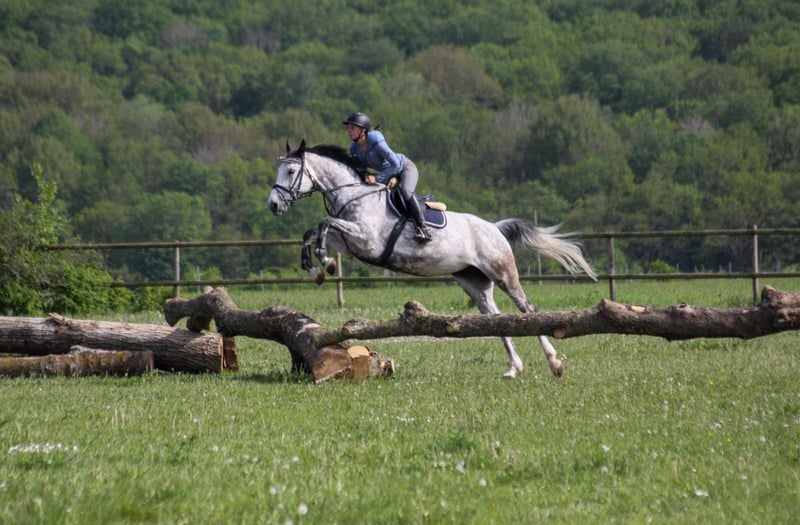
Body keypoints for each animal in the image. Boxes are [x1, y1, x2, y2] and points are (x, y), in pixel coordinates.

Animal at [267, 140, 597, 378]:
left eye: (291, 172)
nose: (273, 205)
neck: (353, 195)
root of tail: (494, 227)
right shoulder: (352, 245)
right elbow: (312, 232)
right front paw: (317, 269)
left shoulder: (367, 240)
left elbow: (323, 224)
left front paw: (325, 262)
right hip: (473, 282)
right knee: (496, 319)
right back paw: (513, 369)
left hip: (502, 272)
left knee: (526, 310)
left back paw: (554, 364)